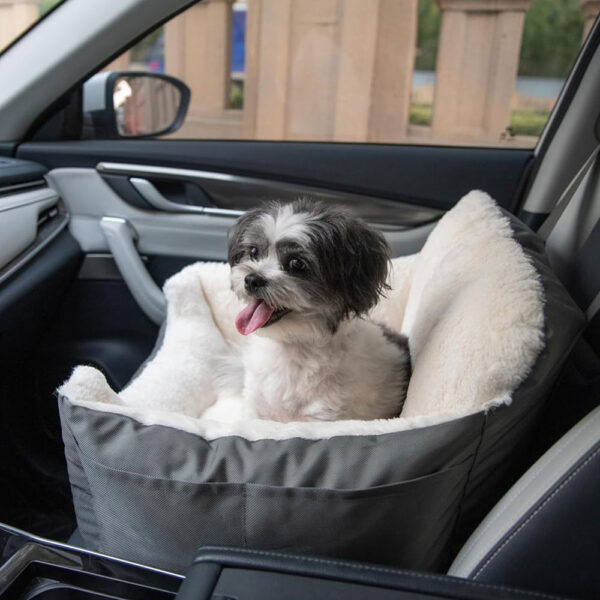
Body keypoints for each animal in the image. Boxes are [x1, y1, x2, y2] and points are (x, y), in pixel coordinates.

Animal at [227, 198, 410, 422]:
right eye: (253, 252)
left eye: (296, 263)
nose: (252, 279)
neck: (292, 348)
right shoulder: (256, 408)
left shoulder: (322, 418)